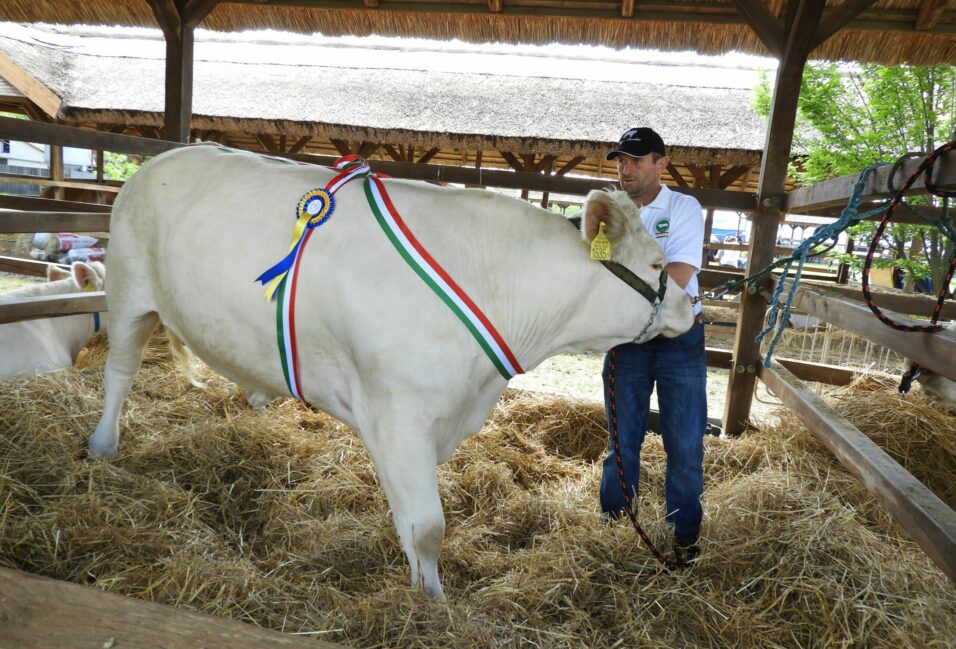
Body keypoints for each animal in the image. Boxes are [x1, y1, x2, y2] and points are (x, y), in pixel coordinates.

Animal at [88, 146, 696, 596]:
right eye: (657, 264)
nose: (691, 309)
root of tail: (162, 158)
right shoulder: (399, 415)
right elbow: (428, 528)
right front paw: (432, 605)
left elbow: (410, 524)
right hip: (127, 292)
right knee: (118, 373)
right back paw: (101, 446)